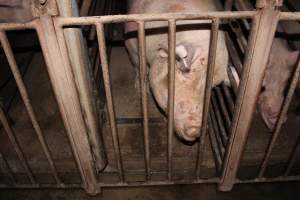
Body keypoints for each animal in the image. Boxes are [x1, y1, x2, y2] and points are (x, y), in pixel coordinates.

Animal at [125, 0, 229, 141]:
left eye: (213, 86)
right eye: (187, 72)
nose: (196, 129)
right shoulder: (132, 45)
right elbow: (139, 67)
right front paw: (141, 89)